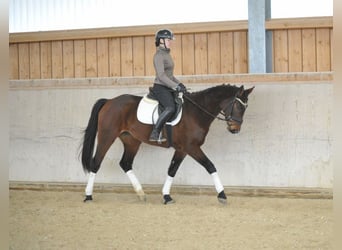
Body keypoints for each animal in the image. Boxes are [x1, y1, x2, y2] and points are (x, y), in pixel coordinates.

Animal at [81, 84, 254, 205]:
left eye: (246, 107)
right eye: (238, 106)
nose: (235, 129)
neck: (196, 112)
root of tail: (109, 101)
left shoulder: (182, 149)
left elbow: (172, 170)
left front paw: (166, 196)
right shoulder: (192, 147)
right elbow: (210, 166)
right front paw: (222, 195)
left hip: (131, 141)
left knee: (125, 163)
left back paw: (141, 194)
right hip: (107, 137)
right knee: (96, 163)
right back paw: (88, 196)